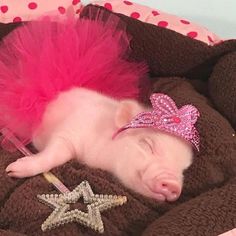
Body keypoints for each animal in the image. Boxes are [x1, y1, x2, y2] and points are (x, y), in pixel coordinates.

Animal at [0, 12, 199, 201]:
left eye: (183, 170)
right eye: (147, 145)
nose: (173, 185)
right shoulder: (69, 131)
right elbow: (54, 154)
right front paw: (12, 170)